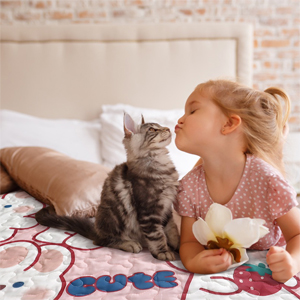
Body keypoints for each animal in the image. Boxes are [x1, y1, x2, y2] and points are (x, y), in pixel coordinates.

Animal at [35, 112, 180, 260]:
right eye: (152, 129)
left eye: (160, 126)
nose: (168, 128)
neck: (160, 163)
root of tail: (96, 230)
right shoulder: (148, 211)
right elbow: (157, 235)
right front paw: (163, 251)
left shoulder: (166, 207)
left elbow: (171, 228)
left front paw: (177, 245)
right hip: (113, 215)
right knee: (102, 240)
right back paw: (128, 243)